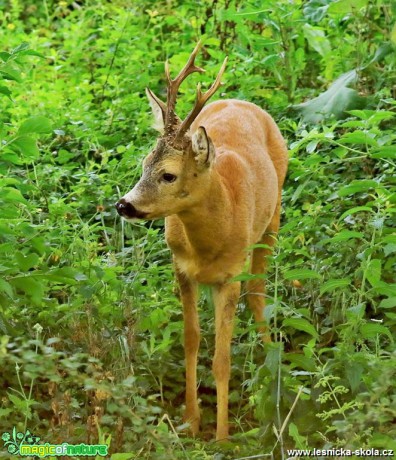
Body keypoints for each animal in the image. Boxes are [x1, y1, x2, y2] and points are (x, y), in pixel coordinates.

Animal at [115, 44, 288, 442]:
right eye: (143, 163)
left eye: (168, 175)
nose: (124, 205)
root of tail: (240, 100)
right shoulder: (181, 267)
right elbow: (191, 339)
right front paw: (191, 422)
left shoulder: (231, 275)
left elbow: (222, 356)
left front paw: (222, 436)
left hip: (273, 216)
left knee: (258, 292)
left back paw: (271, 363)